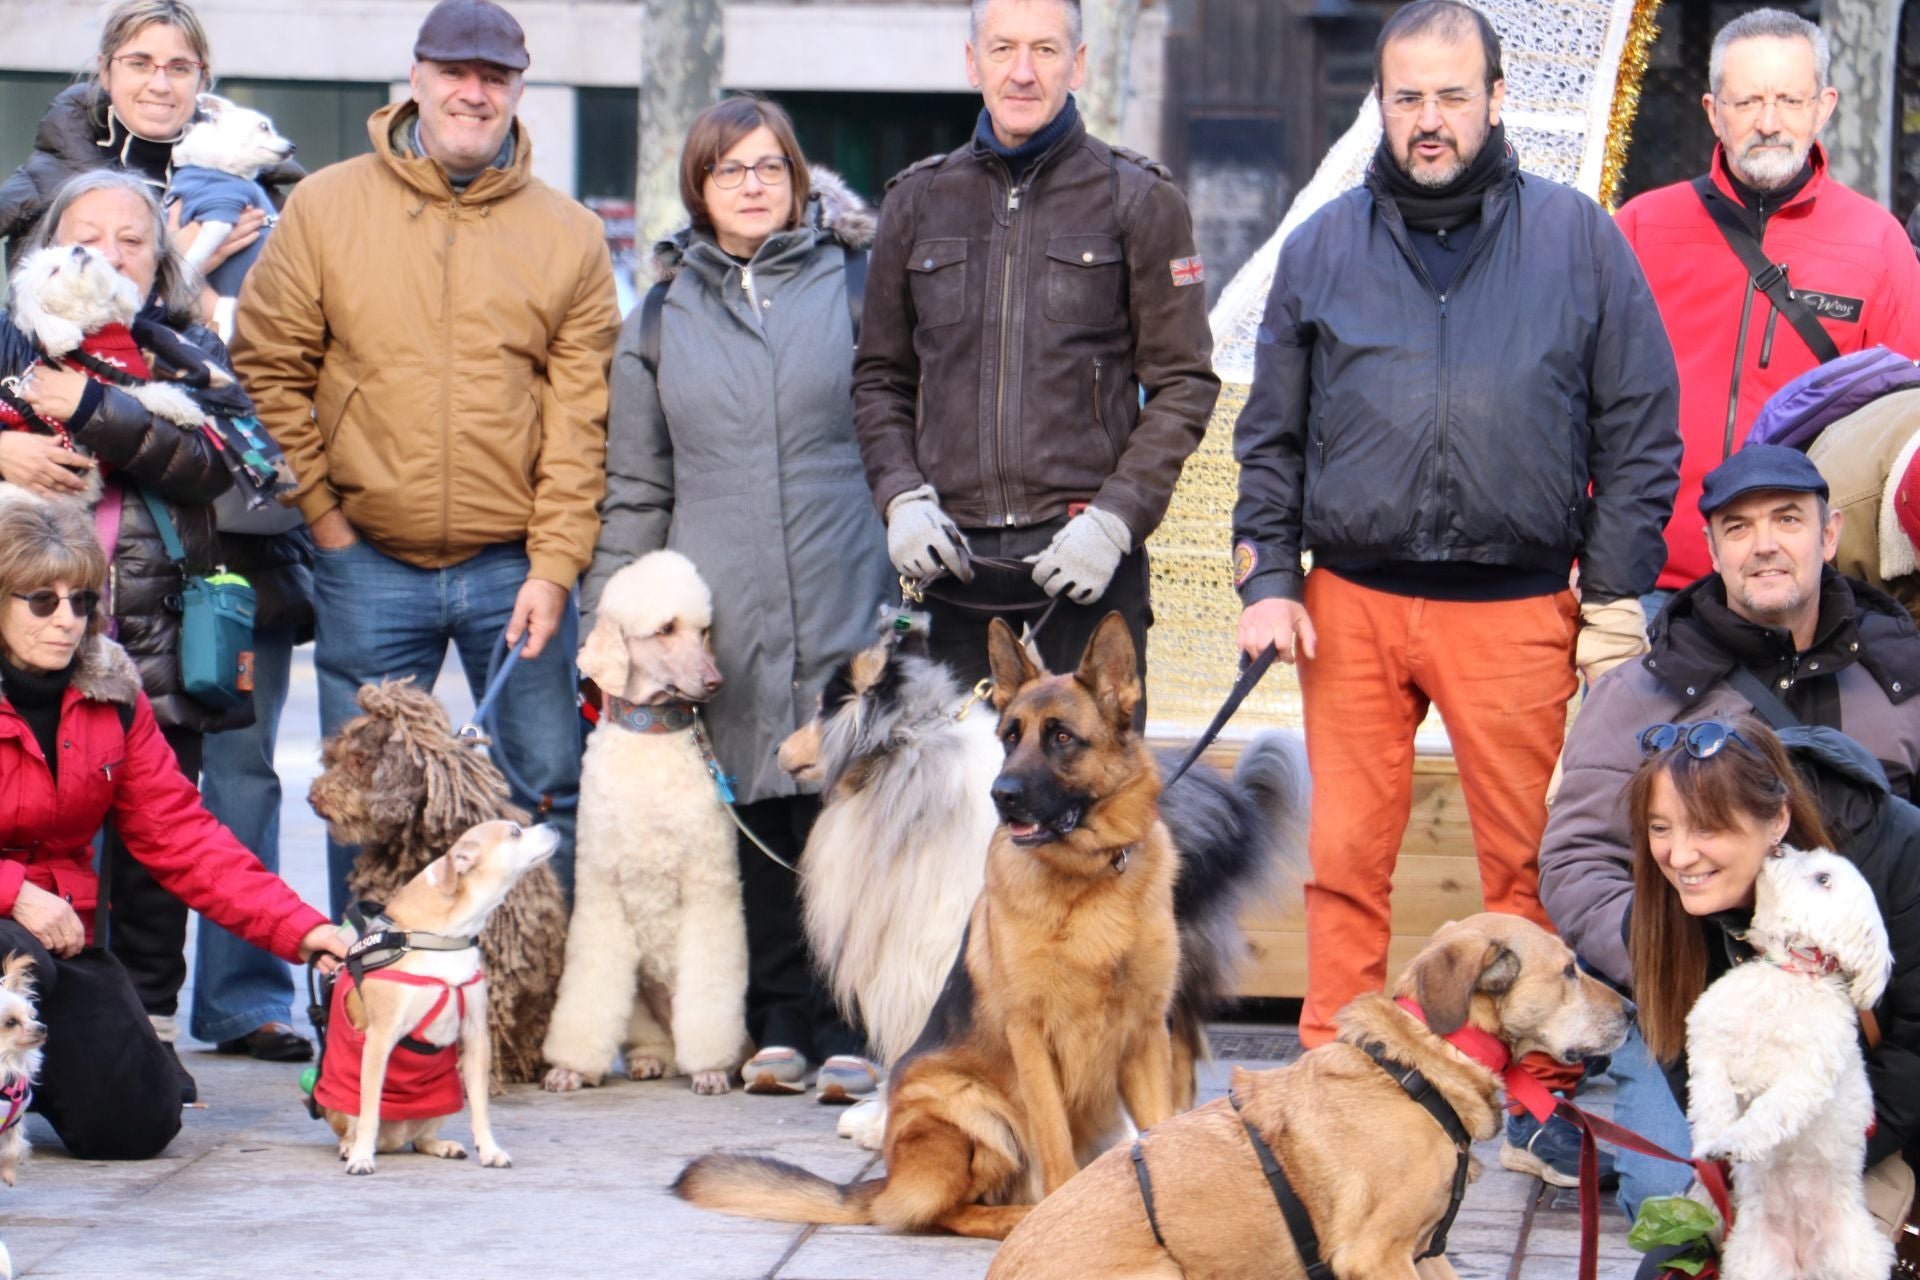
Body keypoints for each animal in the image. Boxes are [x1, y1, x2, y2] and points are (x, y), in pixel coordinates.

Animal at [545, 556, 752, 1097]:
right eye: (665, 629)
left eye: (703, 631)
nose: (715, 681)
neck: (652, 738)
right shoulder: (600, 892)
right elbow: (589, 990)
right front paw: (571, 1067)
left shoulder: (709, 890)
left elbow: (711, 993)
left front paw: (711, 1069)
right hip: (640, 995)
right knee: (649, 1037)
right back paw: (649, 1061)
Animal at [675, 614, 1290, 1235]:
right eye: (1010, 736)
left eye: (1062, 738)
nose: (1003, 796)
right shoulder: (1022, 1026)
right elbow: (1047, 1137)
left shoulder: (1131, 1024)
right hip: (974, 1109)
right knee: (944, 1203)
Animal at [1689, 844, 1896, 1274]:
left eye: (1824, 879)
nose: (1778, 847)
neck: (1789, 974)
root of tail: (1803, 1261)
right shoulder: (1709, 1045)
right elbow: (1711, 1100)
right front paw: (1711, 1141)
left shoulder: (1806, 1076)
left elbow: (1769, 1112)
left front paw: (1736, 1141)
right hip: (1753, 1260)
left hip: (1858, 1259)